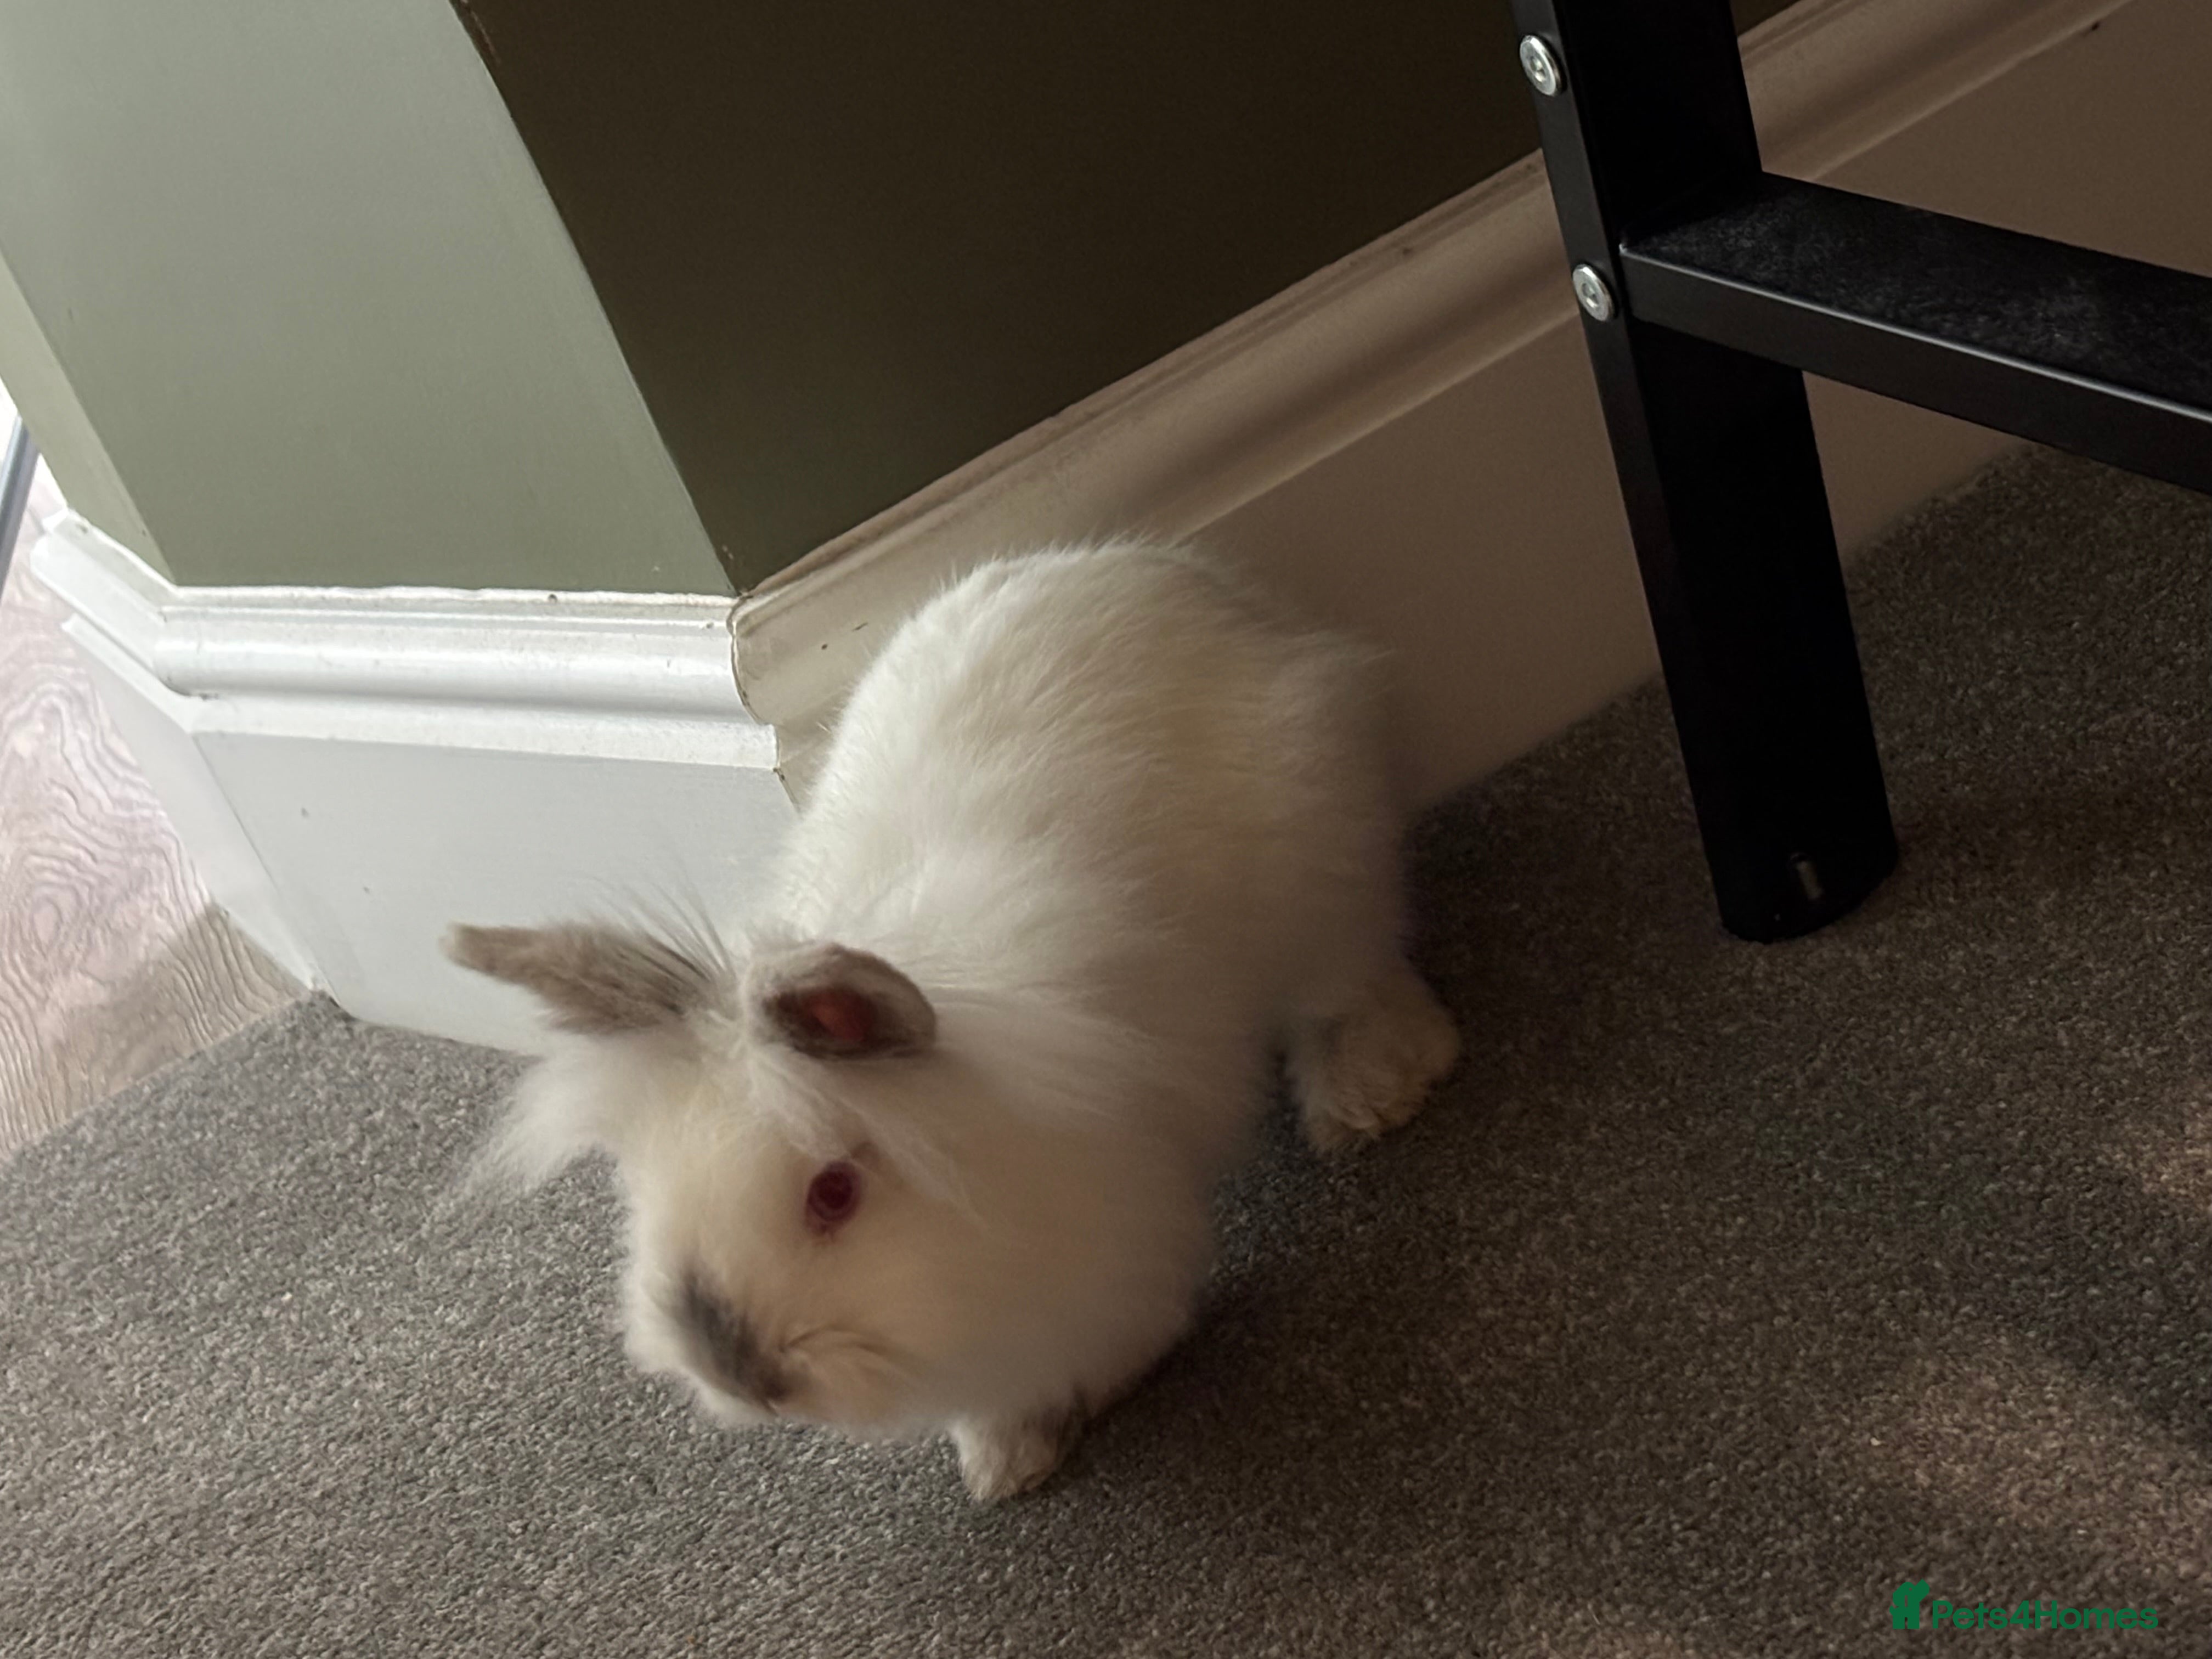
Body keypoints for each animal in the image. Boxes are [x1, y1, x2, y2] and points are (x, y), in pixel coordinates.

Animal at [446, 540, 1460, 1501]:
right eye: (645, 1190)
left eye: (833, 1193)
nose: (740, 1373)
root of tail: (1192, 579)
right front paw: (1000, 1461)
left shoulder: (1116, 1254)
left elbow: (1119, 1334)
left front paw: (1058, 1420)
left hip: (1322, 876)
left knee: (1358, 985)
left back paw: (1369, 1096)